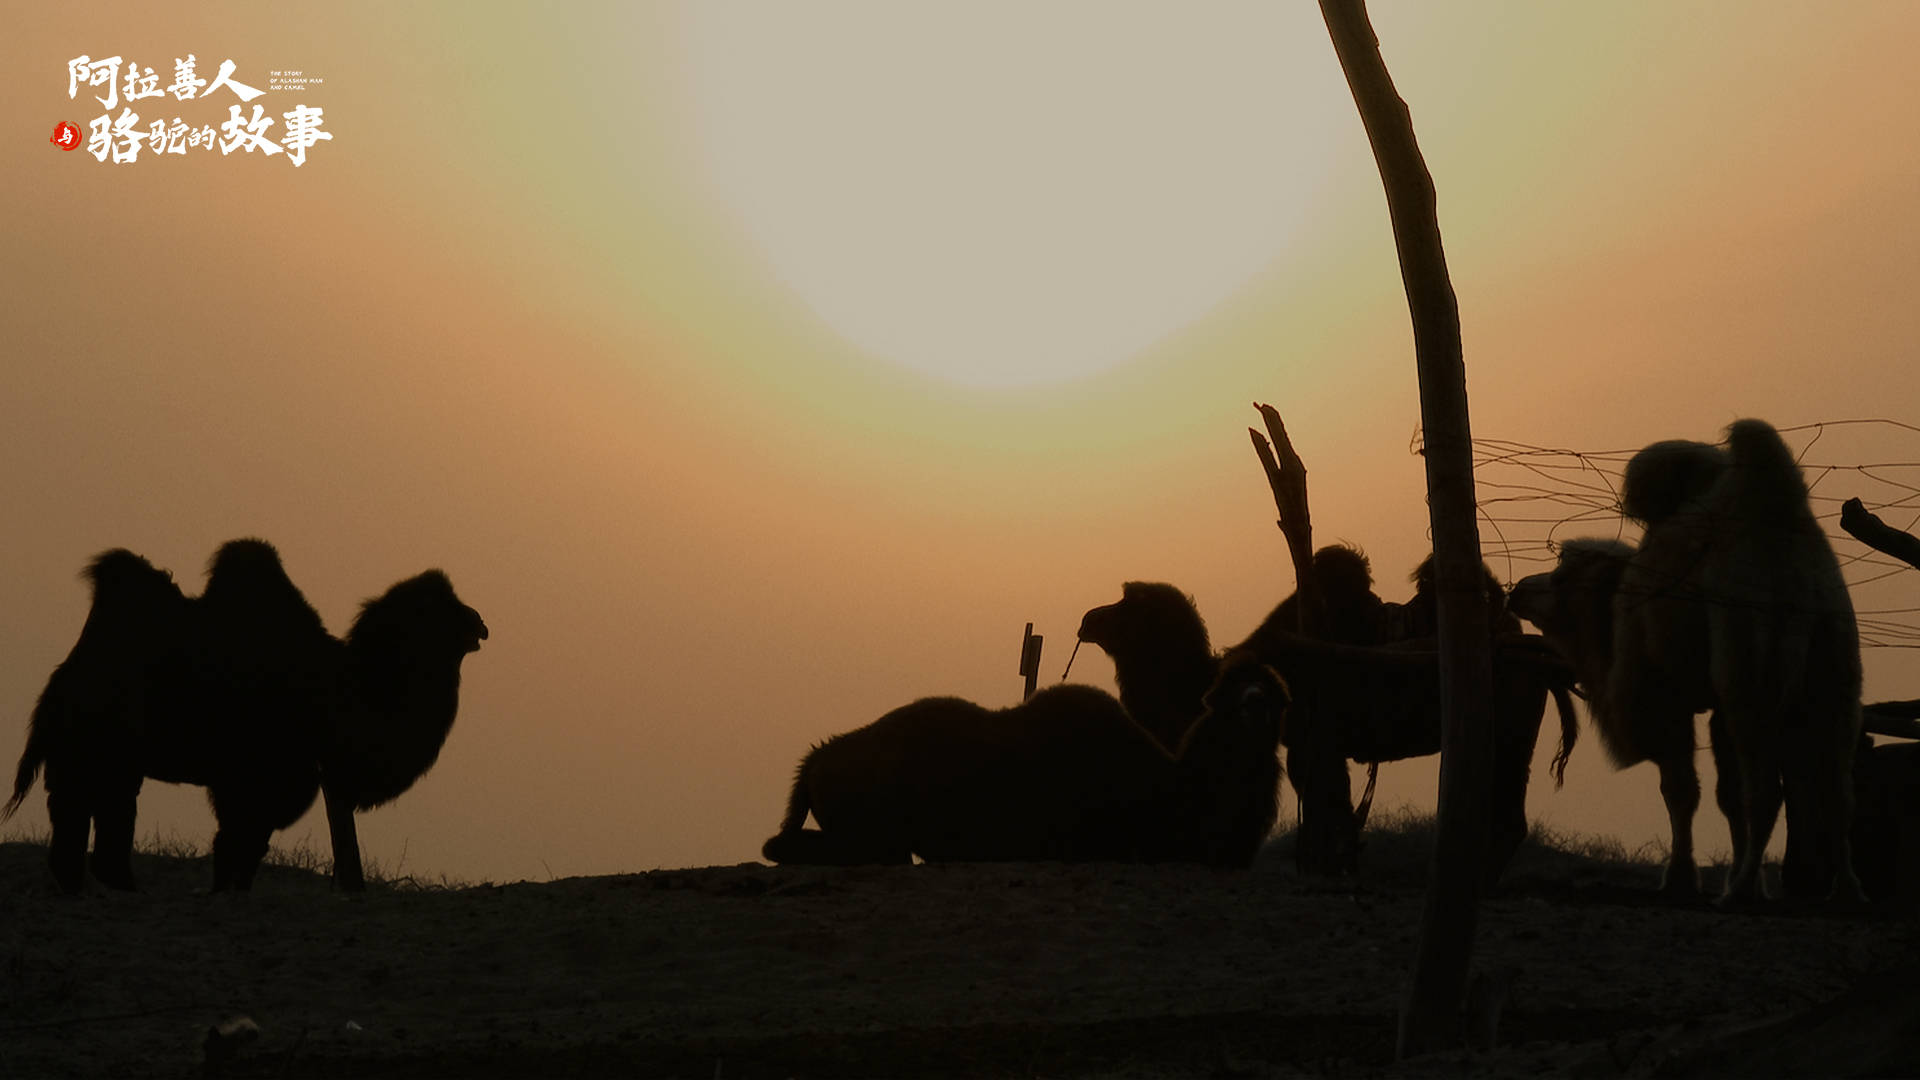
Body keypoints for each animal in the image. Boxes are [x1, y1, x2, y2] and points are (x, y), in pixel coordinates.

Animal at [9, 538, 487, 891]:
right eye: (442, 609)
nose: (481, 623)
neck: (338, 695)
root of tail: (63, 680)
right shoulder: (262, 773)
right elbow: (240, 839)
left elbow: (244, 844)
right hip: (103, 742)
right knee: (99, 805)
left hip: (88, 750)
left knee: (82, 807)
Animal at [1512, 420, 1858, 899]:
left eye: (1562, 577)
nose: (1518, 589)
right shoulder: (1714, 705)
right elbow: (1726, 795)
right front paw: (1733, 875)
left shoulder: (1661, 694)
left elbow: (1680, 789)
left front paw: (1679, 878)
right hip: (1835, 657)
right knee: (1837, 788)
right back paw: (1844, 889)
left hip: (1749, 660)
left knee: (1767, 789)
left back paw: (1740, 890)